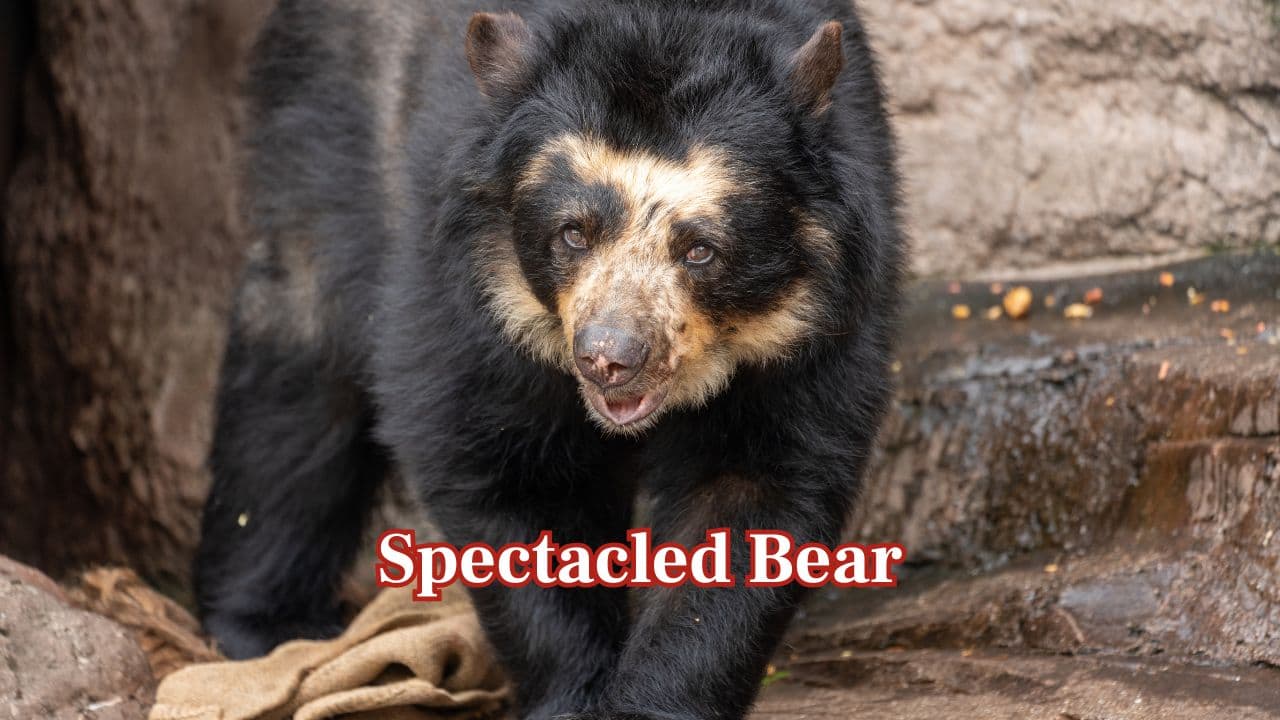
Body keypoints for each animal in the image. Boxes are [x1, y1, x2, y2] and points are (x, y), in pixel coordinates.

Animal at [195, 1, 905, 719]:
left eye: (700, 249)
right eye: (572, 234)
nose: (608, 359)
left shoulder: (819, 322)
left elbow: (754, 489)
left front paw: (648, 702)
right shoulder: (465, 288)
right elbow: (507, 468)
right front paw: (574, 695)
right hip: (328, 117)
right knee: (299, 372)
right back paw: (267, 624)